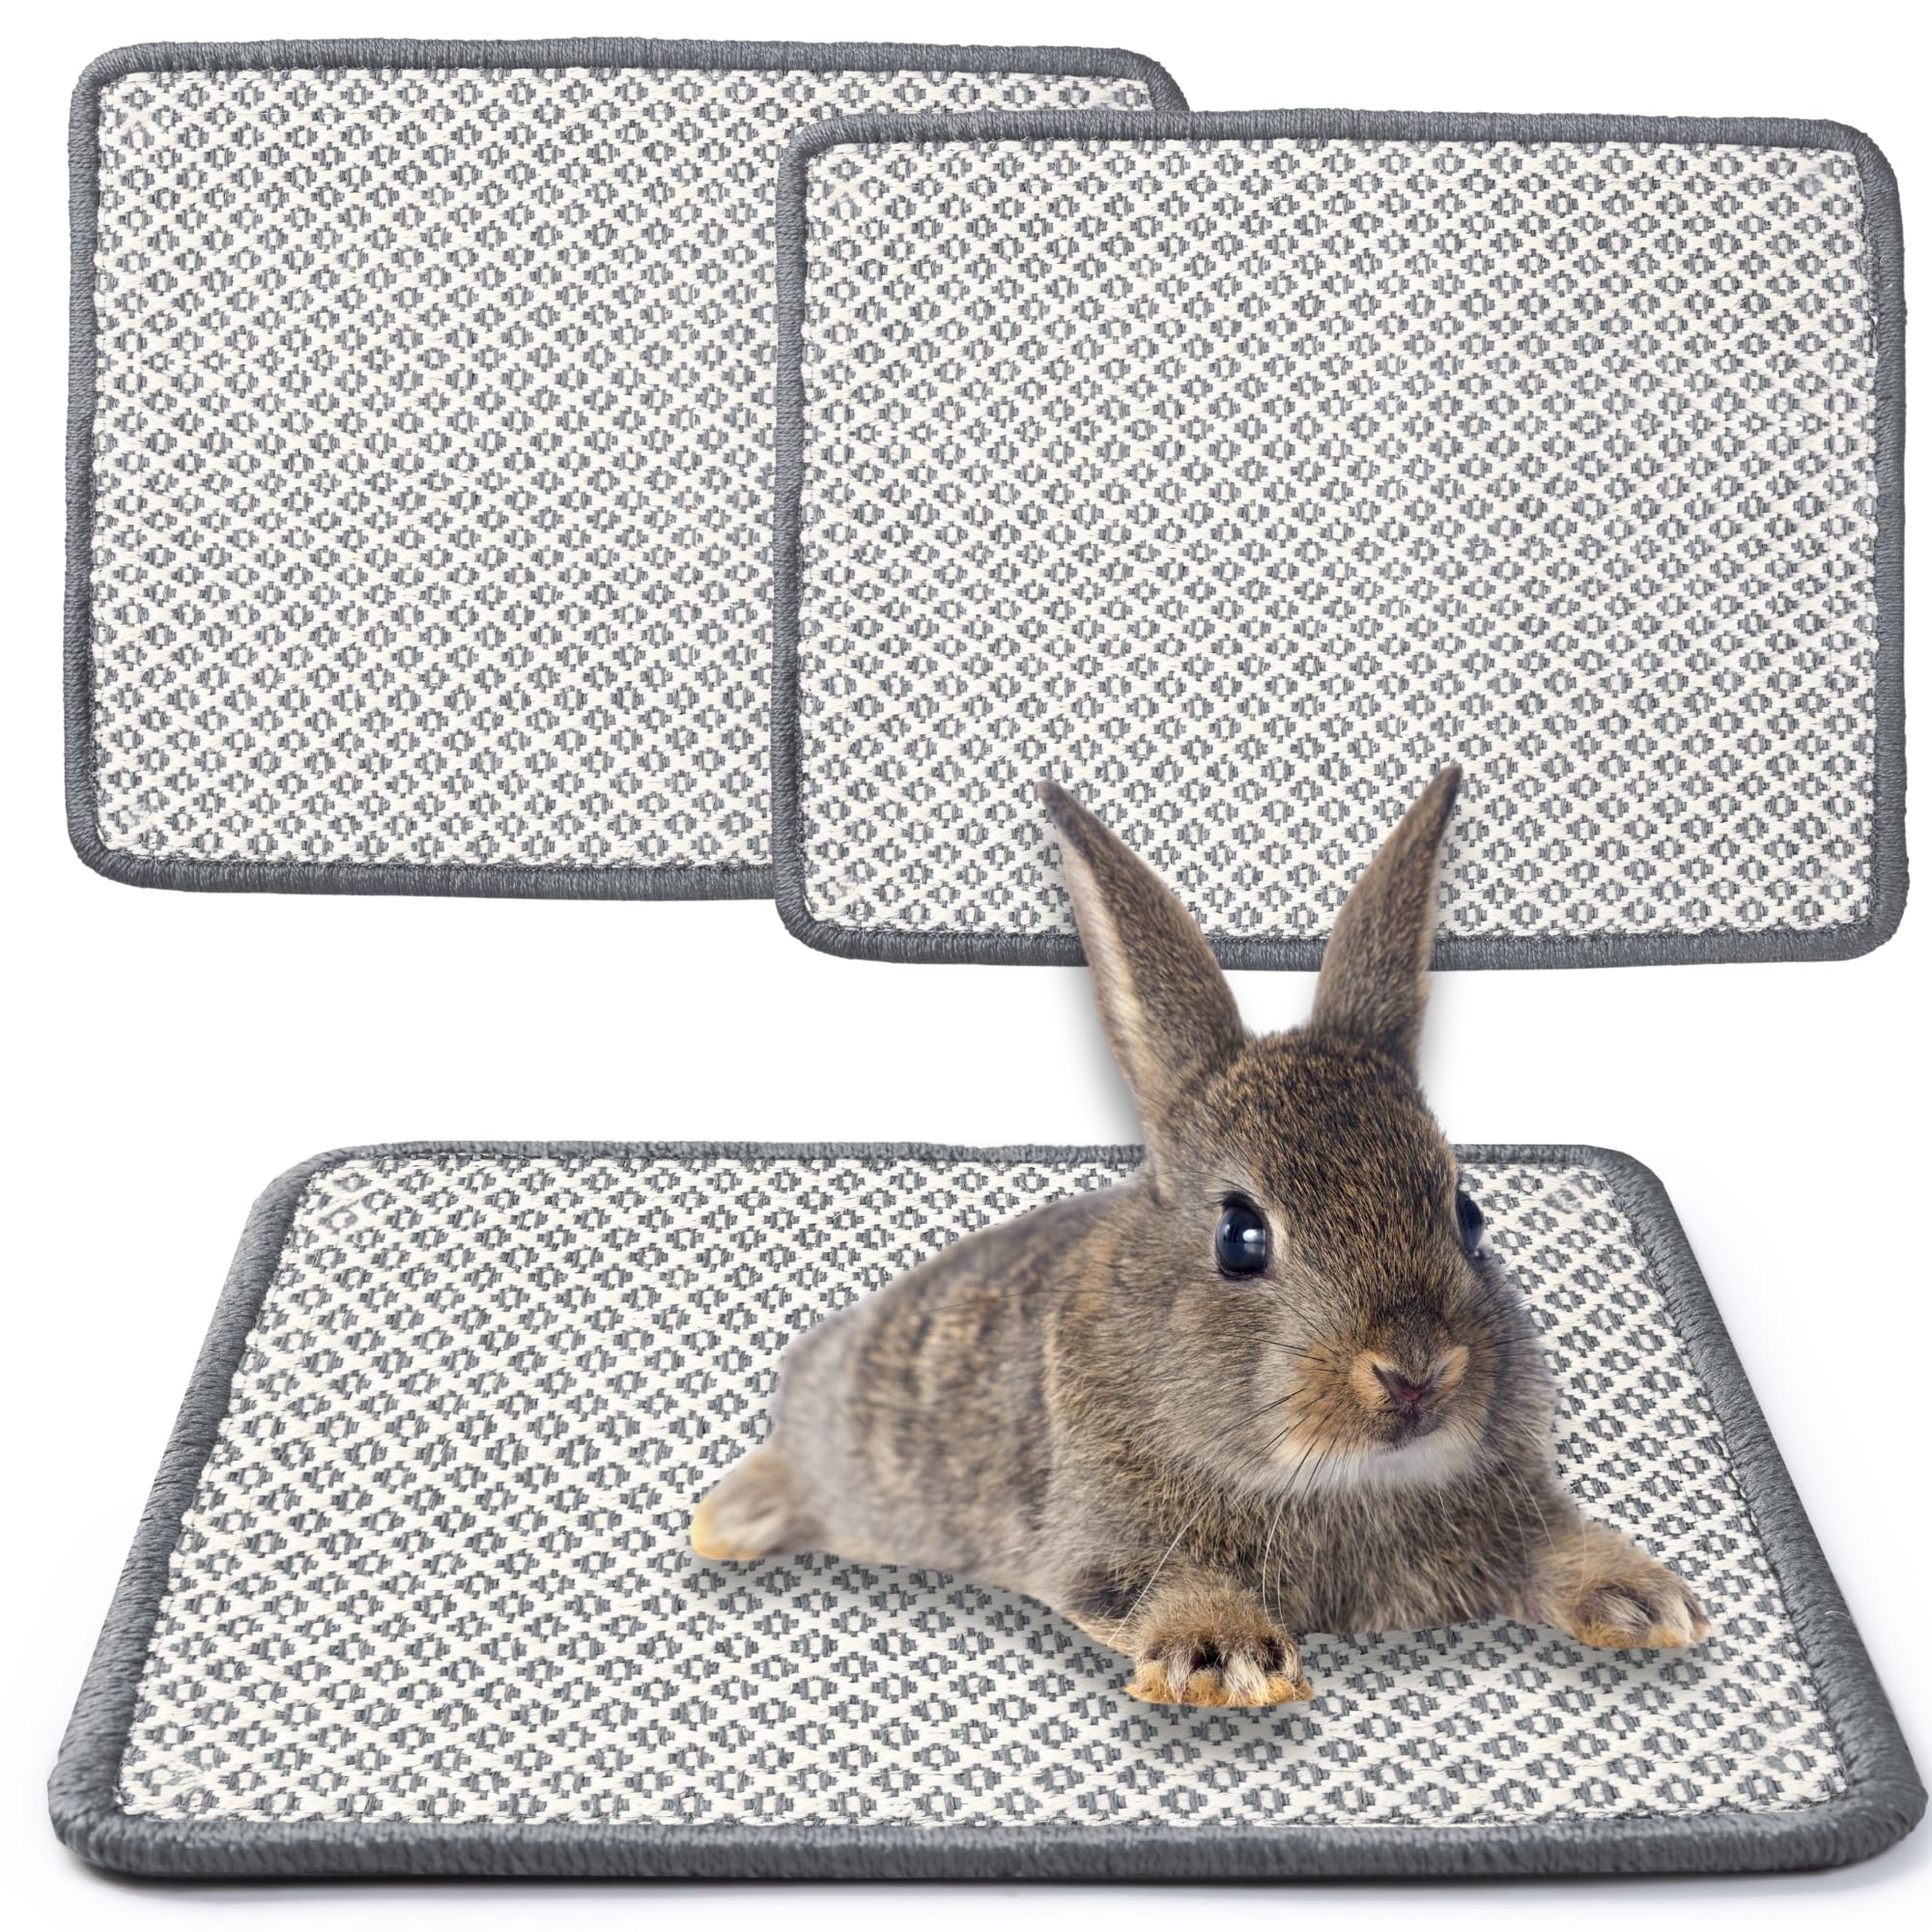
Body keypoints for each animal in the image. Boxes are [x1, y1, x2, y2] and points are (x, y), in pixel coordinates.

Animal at [692, 766, 1710, 1706]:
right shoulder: (1102, 1544)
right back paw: (727, 1523)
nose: (1417, 1371)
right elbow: (1166, 1588)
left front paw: (1646, 1602)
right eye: (1240, 1238)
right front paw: (1226, 1660)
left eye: (1468, 1215)